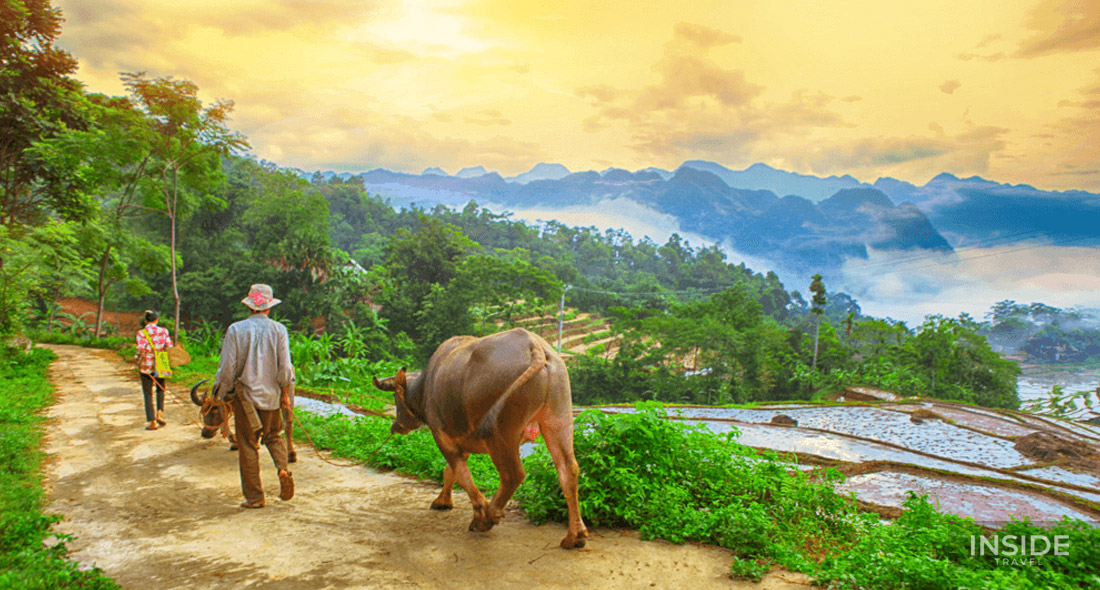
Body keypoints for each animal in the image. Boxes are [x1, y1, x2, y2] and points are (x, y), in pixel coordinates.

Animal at [374, 328, 589, 548]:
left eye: (396, 398)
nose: (395, 426)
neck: (425, 386)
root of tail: (535, 347)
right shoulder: (461, 441)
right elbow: (450, 472)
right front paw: (443, 501)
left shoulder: (442, 436)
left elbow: (460, 474)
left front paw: (479, 511)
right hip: (559, 418)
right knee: (568, 469)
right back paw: (575, 536)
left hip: (500, 435)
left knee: (513, 475)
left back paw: (488, 517)